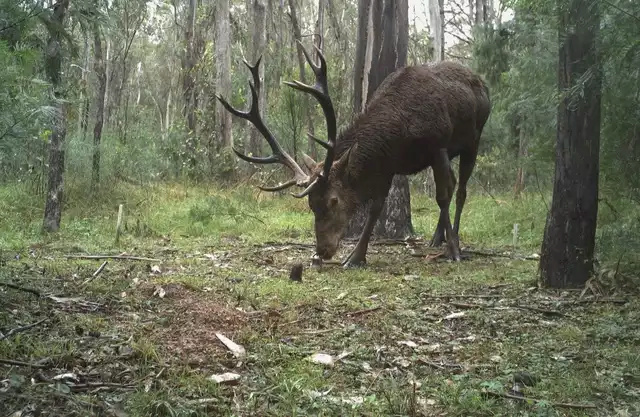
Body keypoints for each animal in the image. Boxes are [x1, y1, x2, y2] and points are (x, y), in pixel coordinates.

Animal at [215, 44, 490, 268]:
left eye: (333, 201)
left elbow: (441, 196)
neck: (399, 133)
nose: (322, 251)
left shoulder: (437, 146)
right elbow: (375, 208)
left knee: (460, 189)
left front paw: (454, 250)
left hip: (474, 139)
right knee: (453, 184)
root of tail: (482, 82)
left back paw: (452, 239)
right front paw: (355, 257)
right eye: (310, 204)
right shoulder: (386, 165)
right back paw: (436, 237)